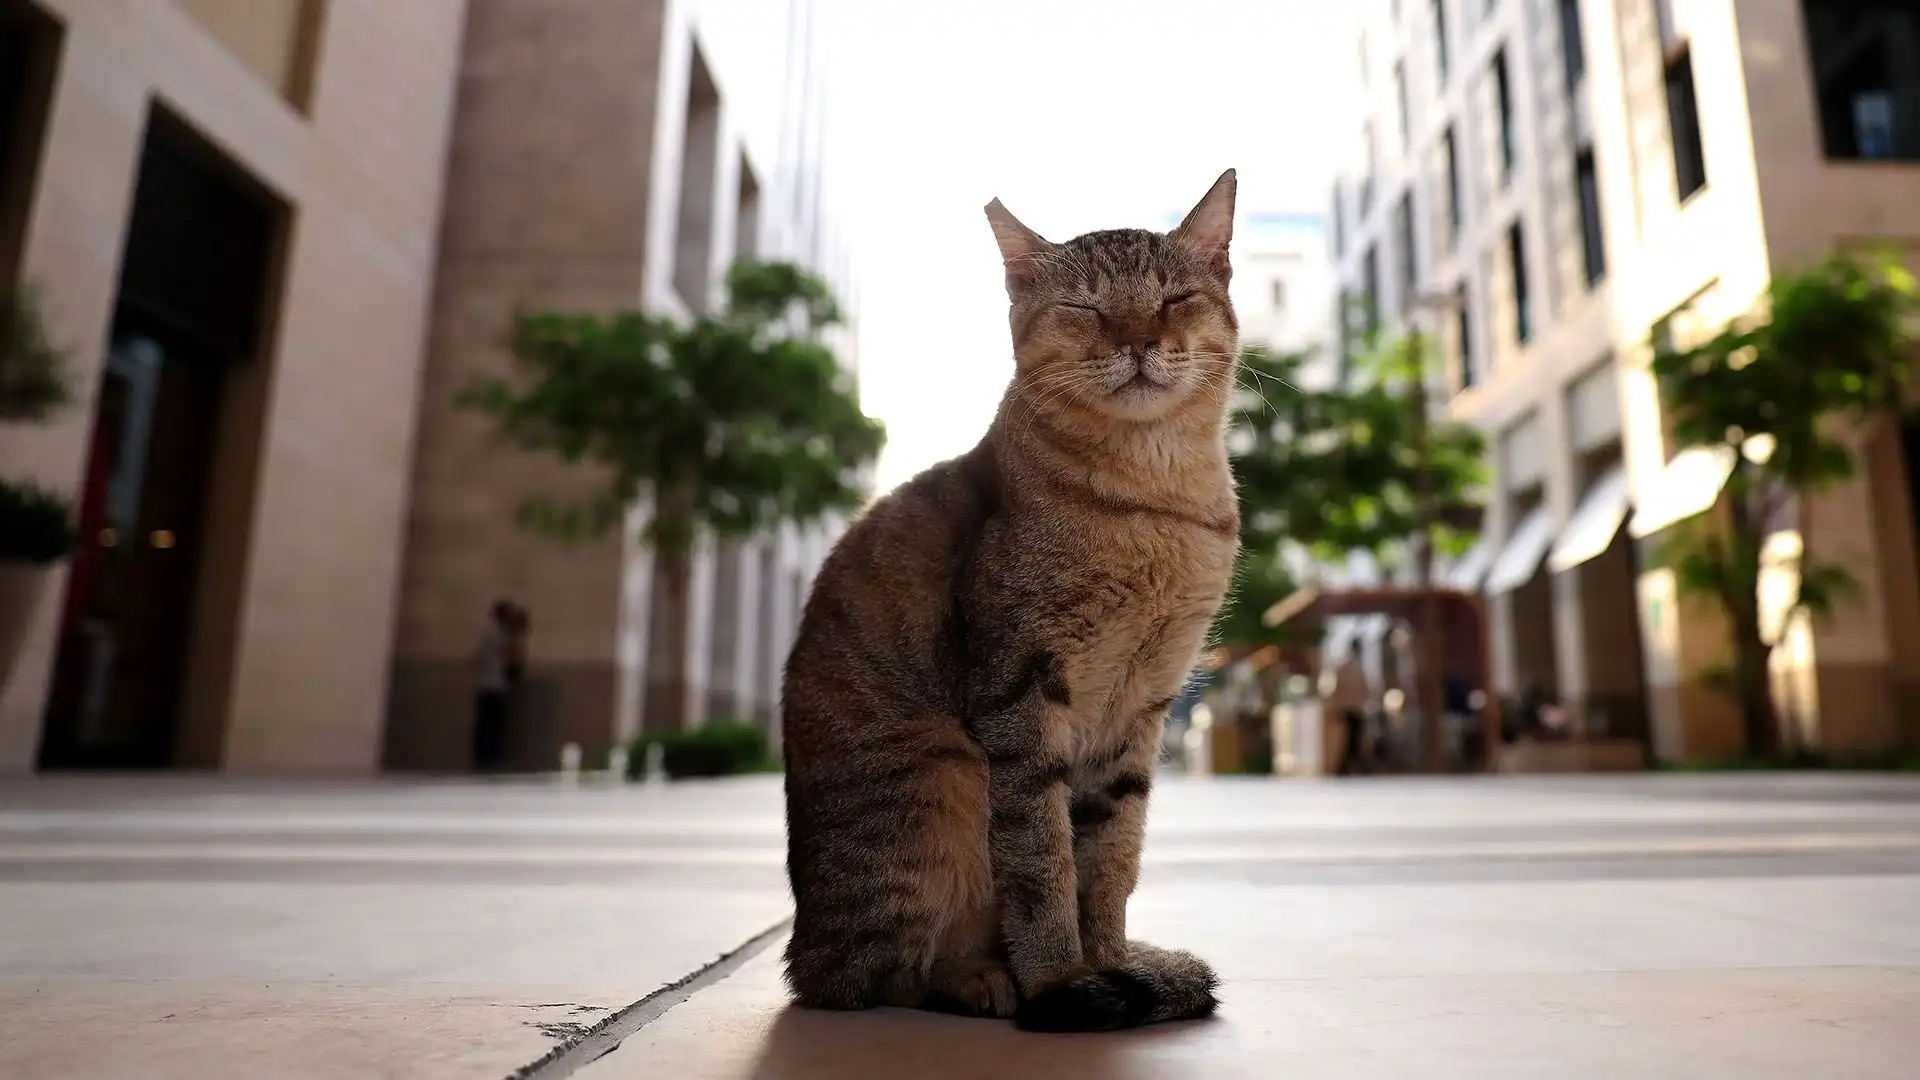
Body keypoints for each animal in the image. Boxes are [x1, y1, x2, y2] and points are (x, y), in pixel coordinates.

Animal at [779, 166, 1244, 1022]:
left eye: (1172, 299)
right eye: (1087, 309)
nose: (1137, 341)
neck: (1154, 500)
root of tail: (805, 943)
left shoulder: (1143, 704)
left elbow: (1112, 854)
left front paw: (1112, 960)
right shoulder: (1022, 690)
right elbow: (1042, 859)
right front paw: (1060, 978)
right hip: (941, 777)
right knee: (872, 978)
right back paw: (984, 979)